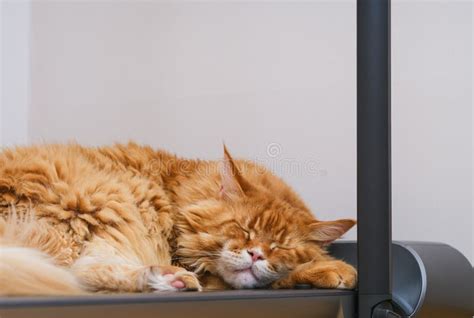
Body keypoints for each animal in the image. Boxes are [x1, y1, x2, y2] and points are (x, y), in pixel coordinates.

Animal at [0, 143, 356, 294]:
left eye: (280, 248)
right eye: (243, 229)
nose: (256, 255)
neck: (178, 192)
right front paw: (332, 269)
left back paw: (165, 279)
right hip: (107, 197)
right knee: (75, 274)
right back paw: (166, 278)